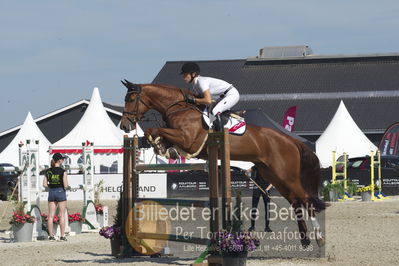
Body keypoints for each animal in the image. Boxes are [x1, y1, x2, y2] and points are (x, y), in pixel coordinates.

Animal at [120, 80, 326, 246]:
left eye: (131, 99)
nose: (124, 126)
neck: (179, 108)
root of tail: (292, 141)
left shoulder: (188, 140)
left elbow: (157, 130)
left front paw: (158, 144)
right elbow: (159, 134)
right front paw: (163, 148)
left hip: (286, 175)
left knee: (305, 199)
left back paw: (318, 238)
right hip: (273, 175)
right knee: (295, 201)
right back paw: (305, 239)